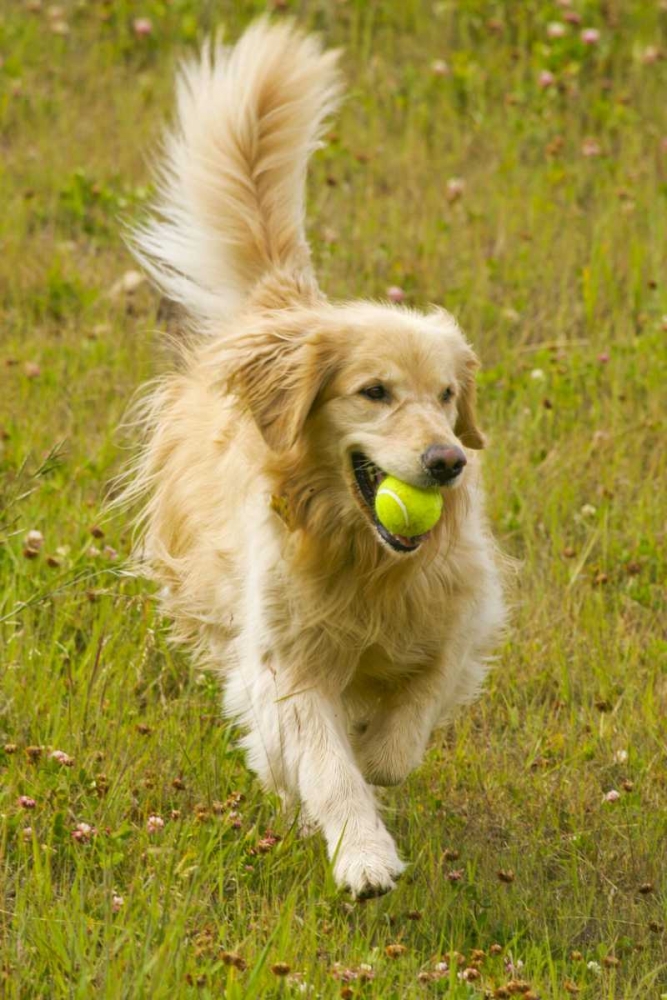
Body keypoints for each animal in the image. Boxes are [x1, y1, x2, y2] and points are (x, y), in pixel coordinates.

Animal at [124, 17, 506, 900]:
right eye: (374, 391)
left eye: (446, 395)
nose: (447, 462)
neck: (365, 558)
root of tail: (288, 308)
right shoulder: (285, 663)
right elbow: (329, 764)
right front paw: (362, 854)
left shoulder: (462, 616)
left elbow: (405, 727)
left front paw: (381, 750)